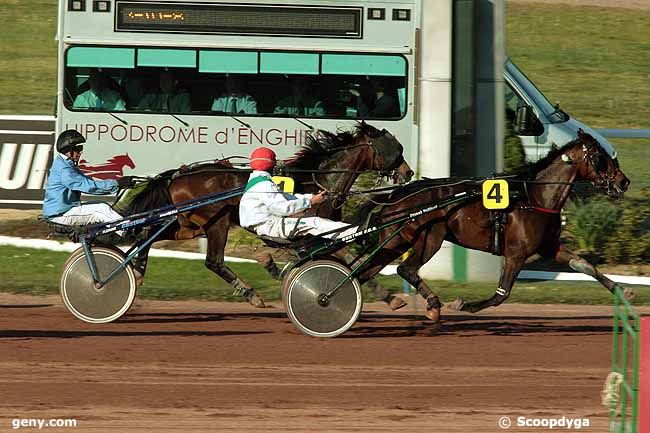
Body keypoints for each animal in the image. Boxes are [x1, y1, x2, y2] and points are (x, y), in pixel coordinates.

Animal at [124, 122, 412, 308]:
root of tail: (177, 175)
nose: (408, 172)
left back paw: (137, 271)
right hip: (216, 223)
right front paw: (389, 297)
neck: (319, 180)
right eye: (394, 149)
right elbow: (351, 260)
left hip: (187, 225)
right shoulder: (317, 233)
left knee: (150, 236)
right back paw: (251, 294)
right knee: (213, 261)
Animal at [354, 128, 628, 320]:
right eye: (600, 157)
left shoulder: (549, 246)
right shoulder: (516, 253)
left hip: (398, 240)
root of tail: (397, 194)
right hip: (427, 238)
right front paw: (463, 304)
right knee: (405, 269)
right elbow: (501, 294)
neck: (534, 197)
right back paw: (432, 305)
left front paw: (623, 291)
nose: (623, 182)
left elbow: (584, 264)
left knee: (366, 271)